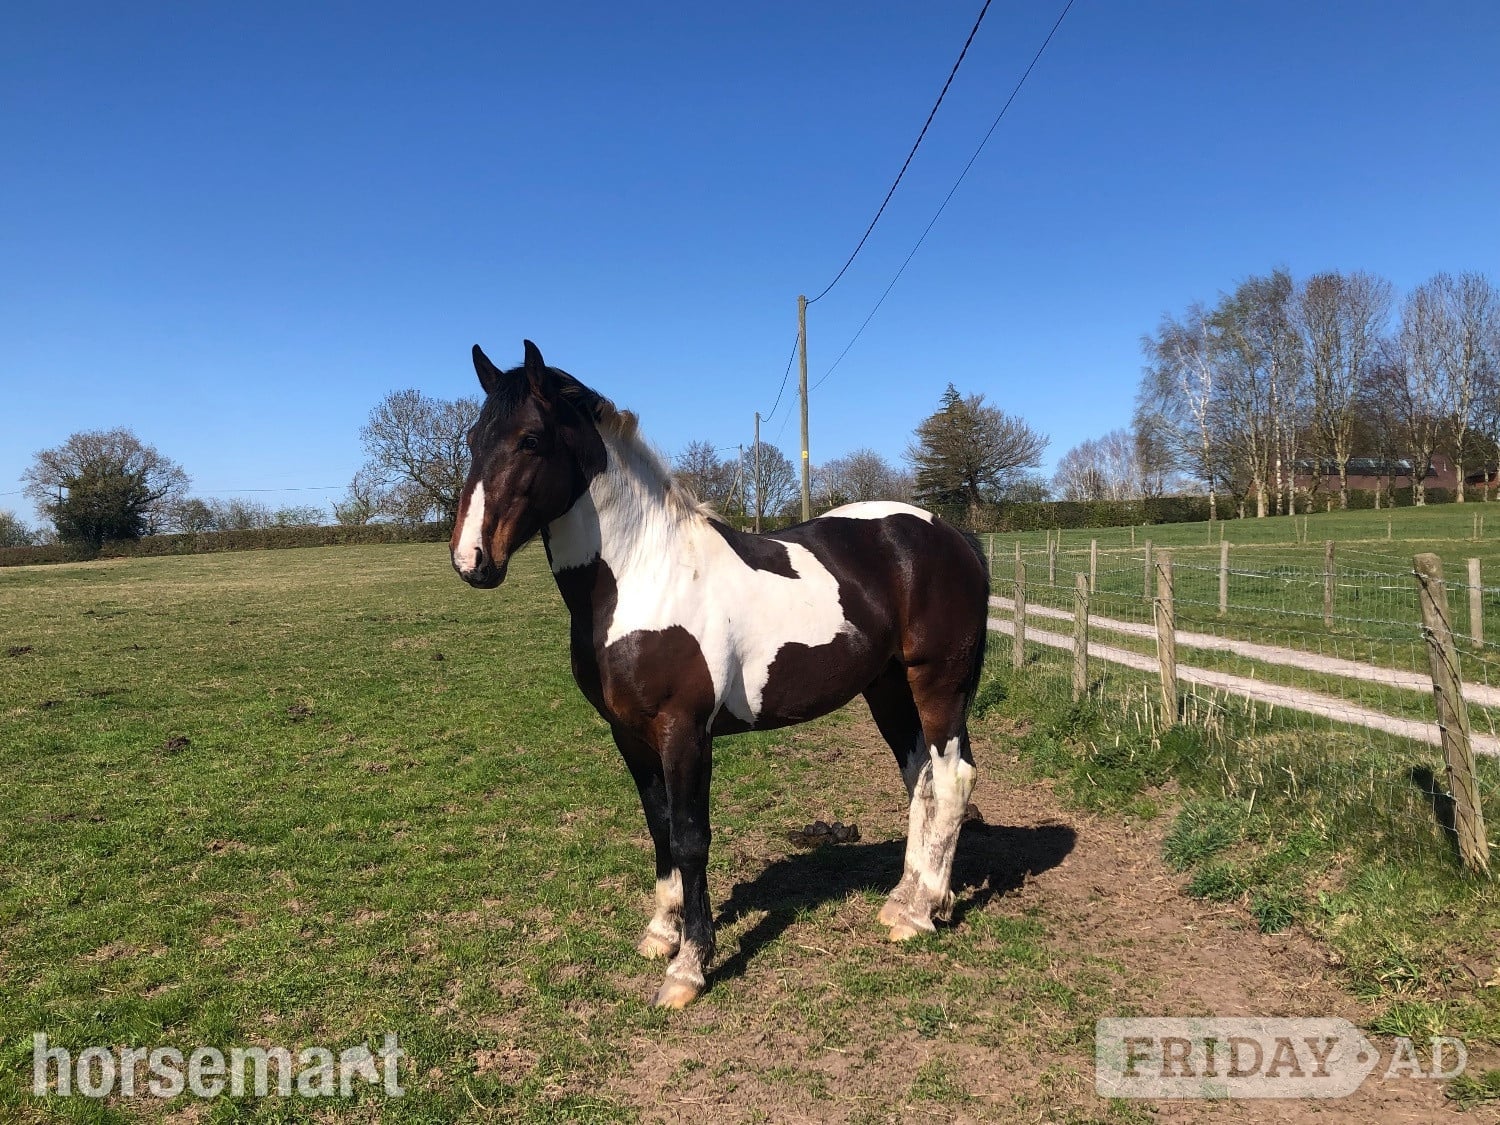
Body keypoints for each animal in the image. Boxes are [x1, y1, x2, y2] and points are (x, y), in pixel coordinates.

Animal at [450, 340, 990, 1008]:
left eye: (529, 439)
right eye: (473, 438)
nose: (471, 559)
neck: (643, 576)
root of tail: (947, 532)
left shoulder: (684, 731)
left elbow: (690, 837)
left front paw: (690, 965)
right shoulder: (629, 734)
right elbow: (658, 828)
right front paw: (662, 932)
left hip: (936, 680)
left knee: (953, 777)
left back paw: (922, 913)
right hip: (886, 687)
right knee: (920, 777)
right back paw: (905, 899)